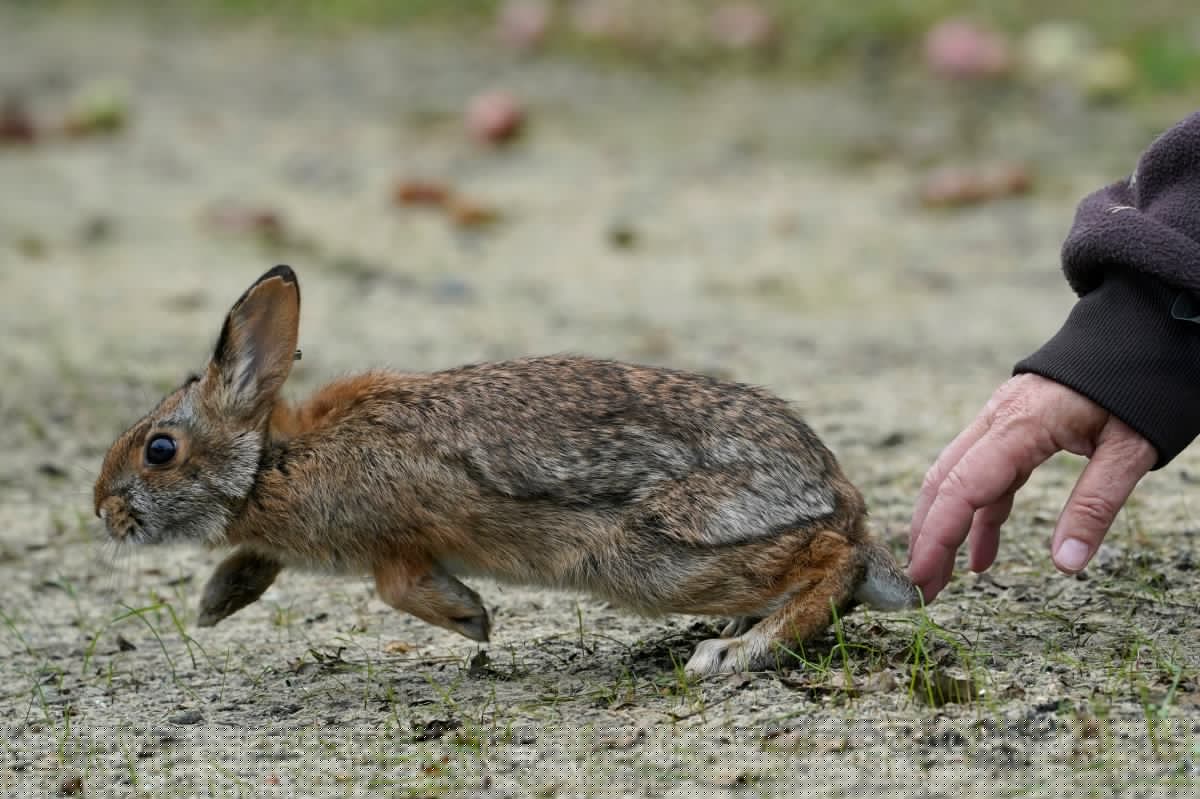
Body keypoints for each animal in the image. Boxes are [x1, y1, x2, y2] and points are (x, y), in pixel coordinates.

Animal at [94, 265, 918, 675]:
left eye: (160, 449)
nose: (102, 508)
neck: (272, 462)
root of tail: (833, 491)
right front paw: (216, 602)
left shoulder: (397, 537)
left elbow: (400, 588)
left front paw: (472, 619)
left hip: (653, 550)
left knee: (832, 559)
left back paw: (736, 650)